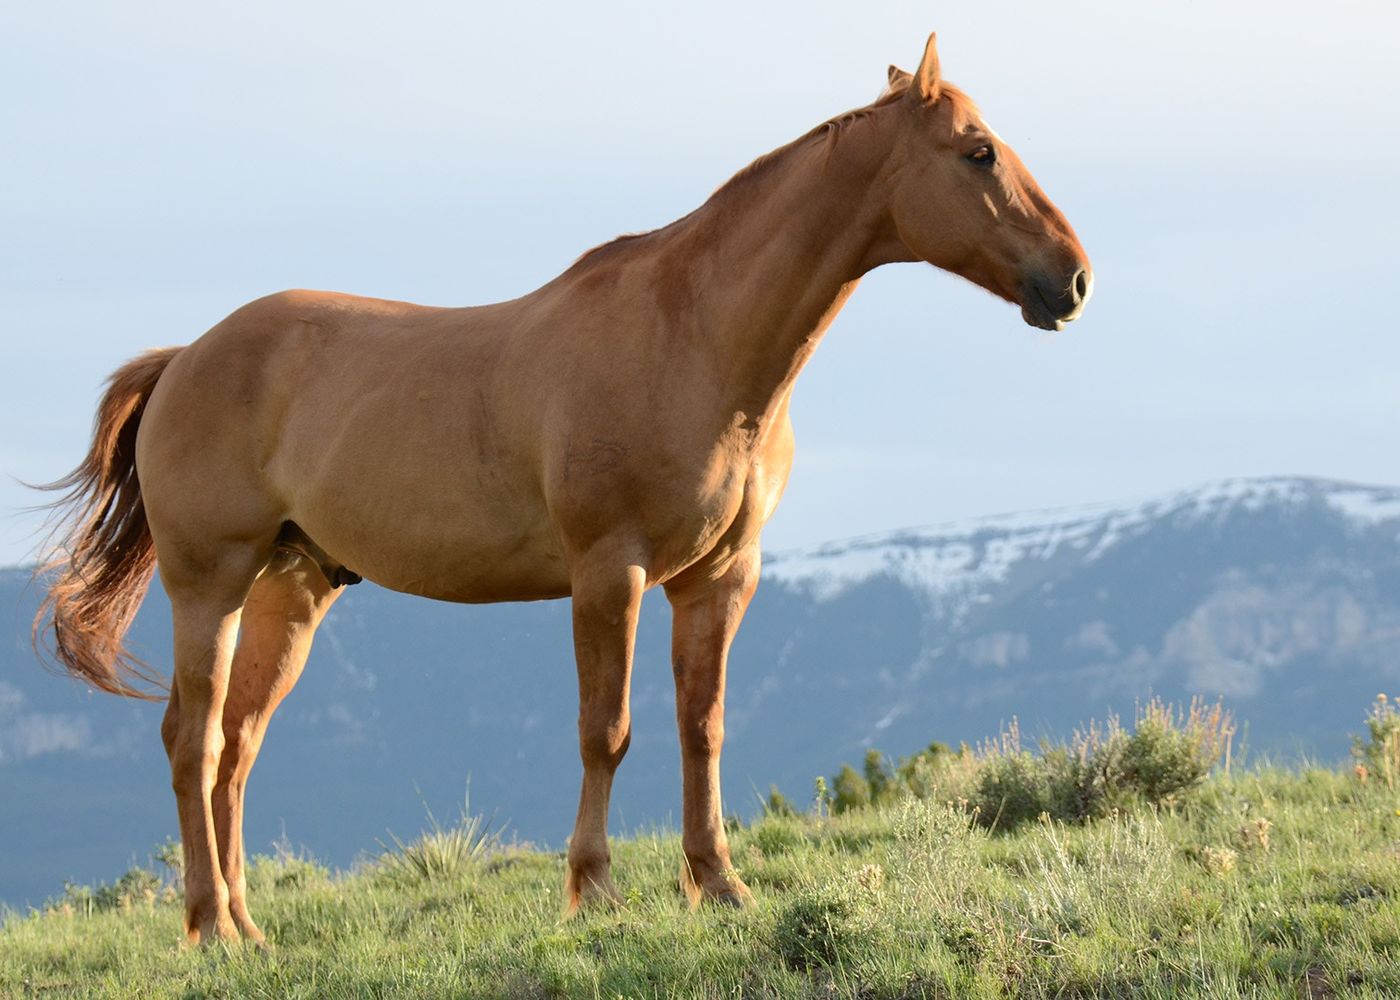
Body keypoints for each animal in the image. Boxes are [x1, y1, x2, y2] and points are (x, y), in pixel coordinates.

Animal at [34, 33, 1091, 945]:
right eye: (978, 152)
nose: (1073, 280)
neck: (694, 339)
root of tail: (185, 358)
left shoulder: (720, 578)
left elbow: (701, 727)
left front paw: (719, 884)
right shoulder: (608, 573)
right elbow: (606, 731)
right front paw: (596, 890)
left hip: (290, 591)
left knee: (238, 747)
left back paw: (249, 928)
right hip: (209, 582)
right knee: (194, 741)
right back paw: (210, 927)